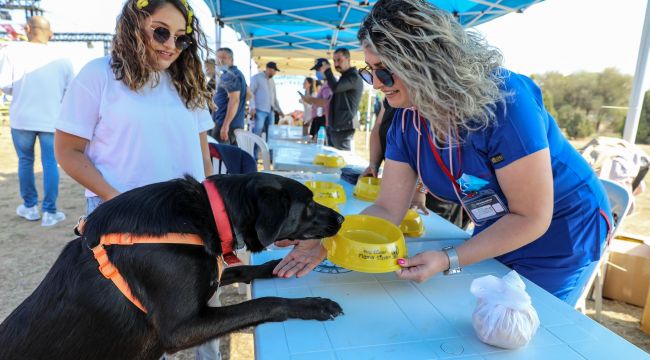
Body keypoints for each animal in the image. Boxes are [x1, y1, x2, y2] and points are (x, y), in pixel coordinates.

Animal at [0, 173, 344, 358]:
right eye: (309, 205)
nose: (341, 218)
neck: (206, 214)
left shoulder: (209, 274)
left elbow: (242, 270)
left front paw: (275, 265)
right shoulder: (181, 328)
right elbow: (265, 302)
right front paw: (313, 304)